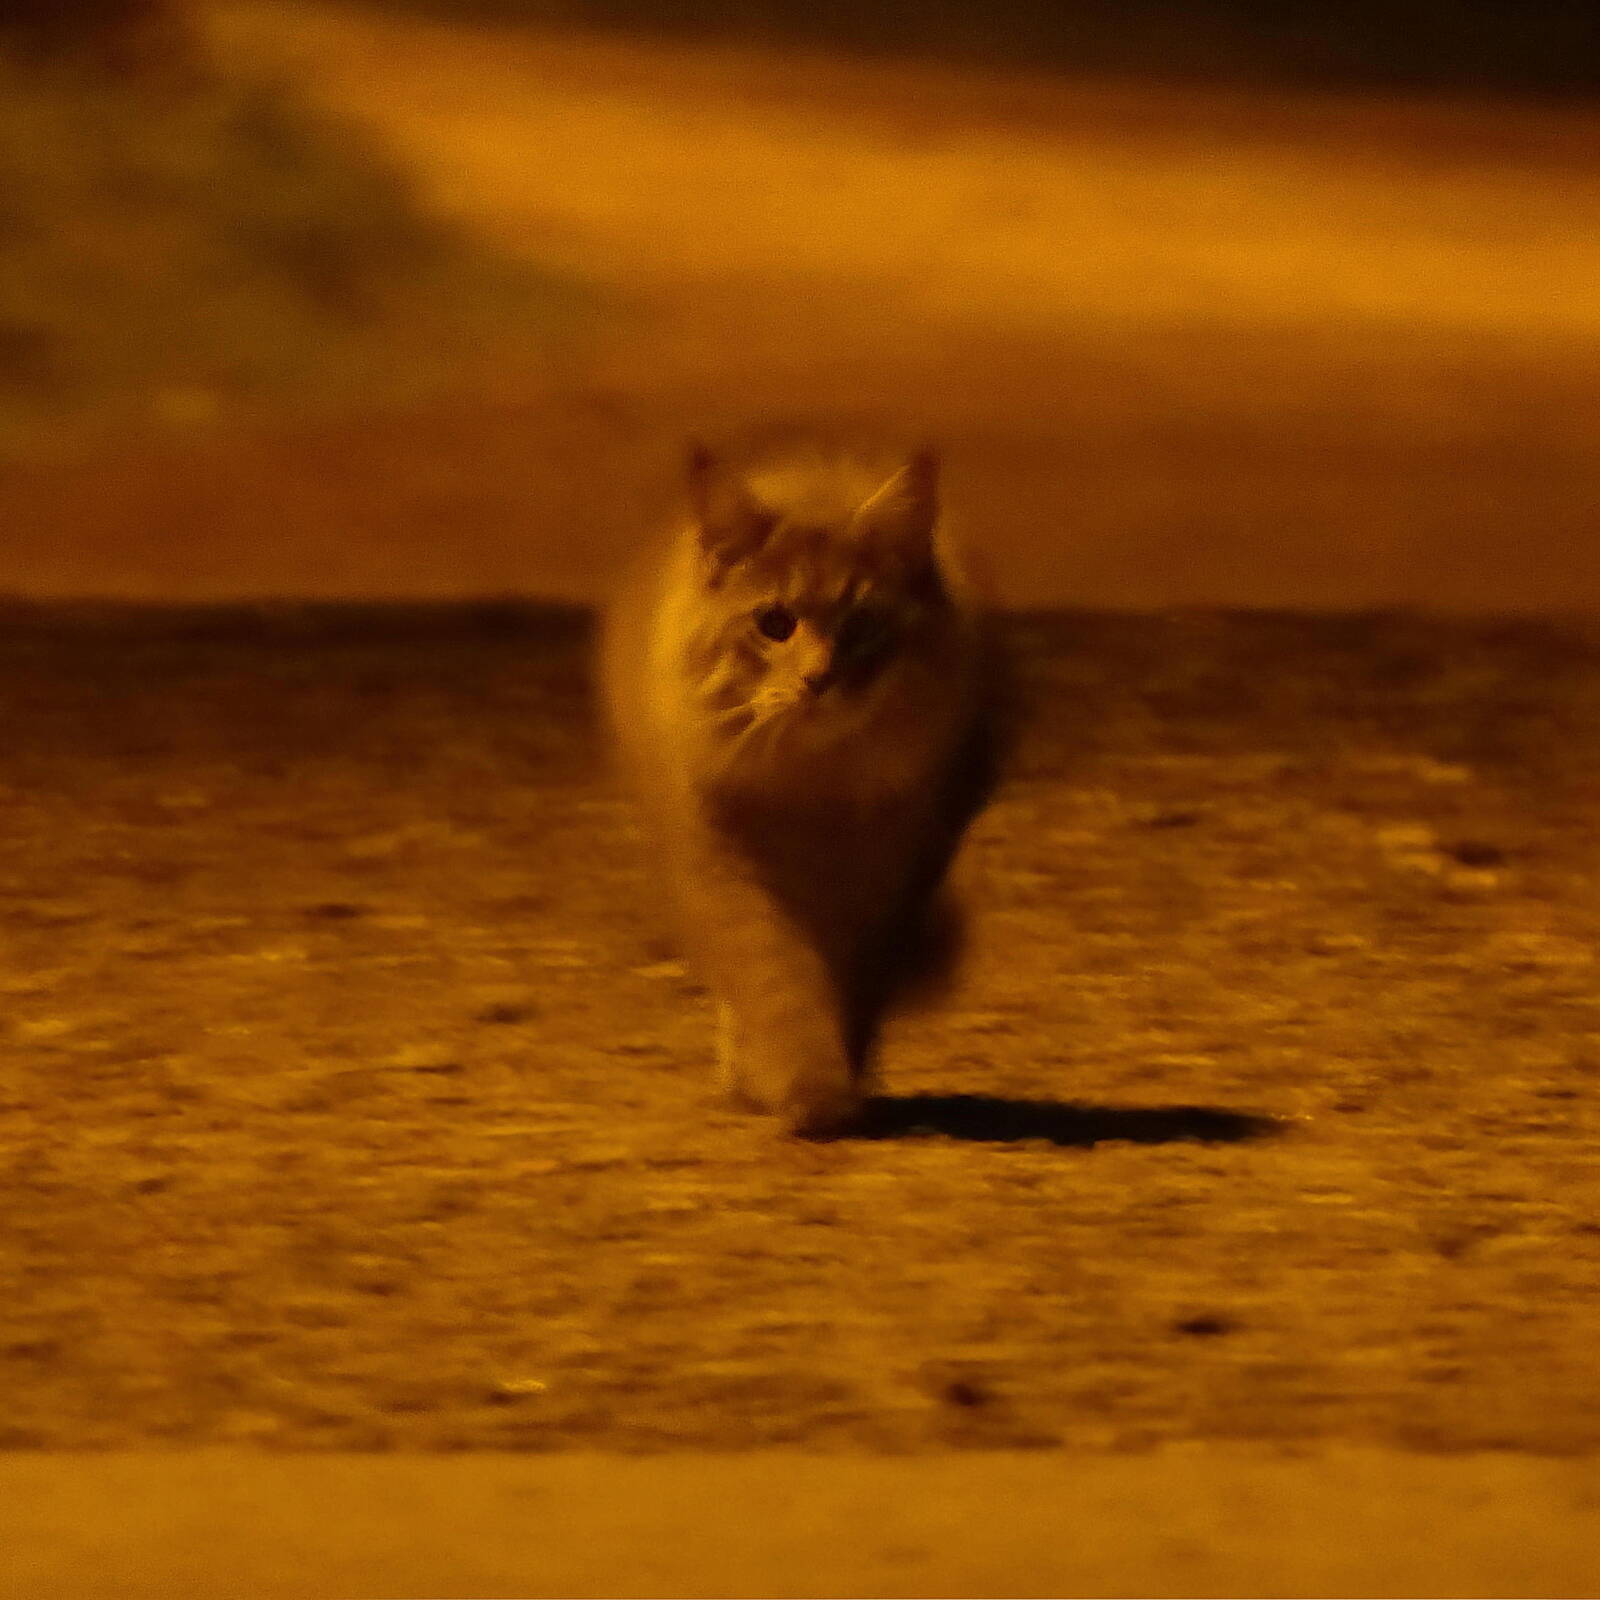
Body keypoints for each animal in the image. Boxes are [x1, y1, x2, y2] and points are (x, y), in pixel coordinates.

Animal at [600, 430, 1007, 1137]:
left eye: (864, 624)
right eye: (774, 623)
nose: (820, 679)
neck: (811, 787)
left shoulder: (892, 880)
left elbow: (850, 991)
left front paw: (839, 1079)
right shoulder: (728, 870)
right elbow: (777, 984)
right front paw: (802, 1086)